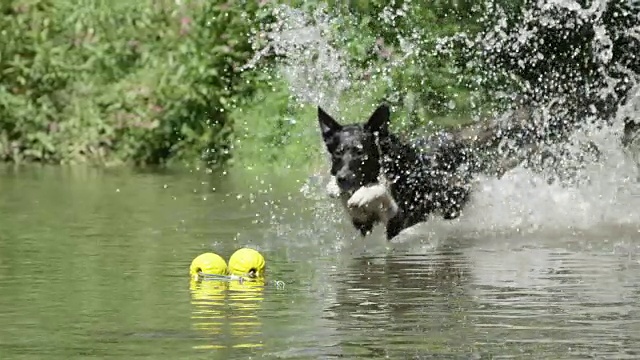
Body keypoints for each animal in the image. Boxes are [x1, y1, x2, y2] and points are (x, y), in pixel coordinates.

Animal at [318, 102, 472, 240]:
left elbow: (380, 191)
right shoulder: (364, 225)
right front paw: (335, 188)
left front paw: (363, 193)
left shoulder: (402, 219)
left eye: (360, 153)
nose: (341, 178)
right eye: (338, 153)